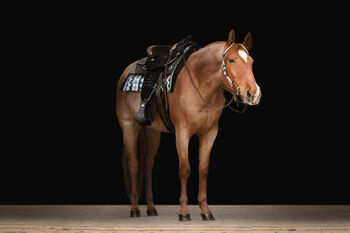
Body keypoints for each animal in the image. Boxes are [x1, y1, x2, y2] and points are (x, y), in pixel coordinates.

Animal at [116, 29, 262, 220]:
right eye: (231, 60)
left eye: (251, 61)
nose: (254, 94)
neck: (200, 83)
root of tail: (126, 72)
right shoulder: (182, 132)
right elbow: (184, 169)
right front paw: (184, 212)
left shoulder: (209, 133)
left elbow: (203, 169)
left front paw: (205, 210)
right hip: (129, 128)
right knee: (134, 164)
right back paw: (134, 208)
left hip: (152, 132)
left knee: (148, 164)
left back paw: (151, 207)